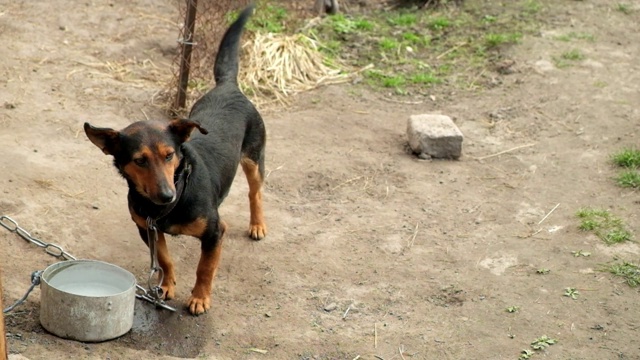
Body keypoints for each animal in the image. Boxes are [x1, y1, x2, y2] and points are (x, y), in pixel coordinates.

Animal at [84, 5, 264, 316]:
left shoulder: (215, 232)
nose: (167, 196)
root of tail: (228, 86)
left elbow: (205, 268)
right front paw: (166, 285)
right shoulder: (148, 229)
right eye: (139, 160)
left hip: (254, 158)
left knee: (255, 191)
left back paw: (257, 225)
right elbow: (165, 259)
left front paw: (200, 298)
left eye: (169, 155)